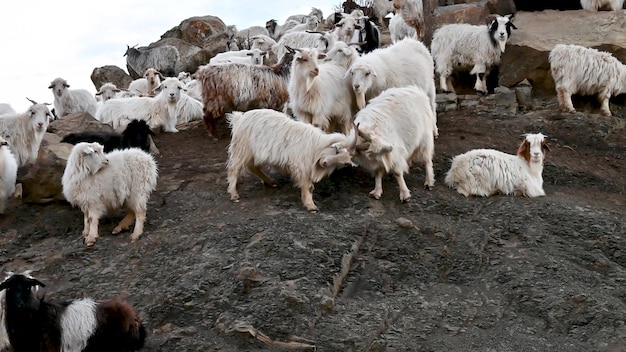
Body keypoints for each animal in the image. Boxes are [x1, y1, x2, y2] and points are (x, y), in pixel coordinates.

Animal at [225, 108, 354, 212]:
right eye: (336, 151)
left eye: (341, 163)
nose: (325, 163)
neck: (316, 145)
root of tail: (238, 118)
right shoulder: (301, 166)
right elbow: (308, 186)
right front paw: (311, 206)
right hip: (242, 149)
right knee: (234, 169)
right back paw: (234, 194)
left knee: (253, 167)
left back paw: (270, 181)